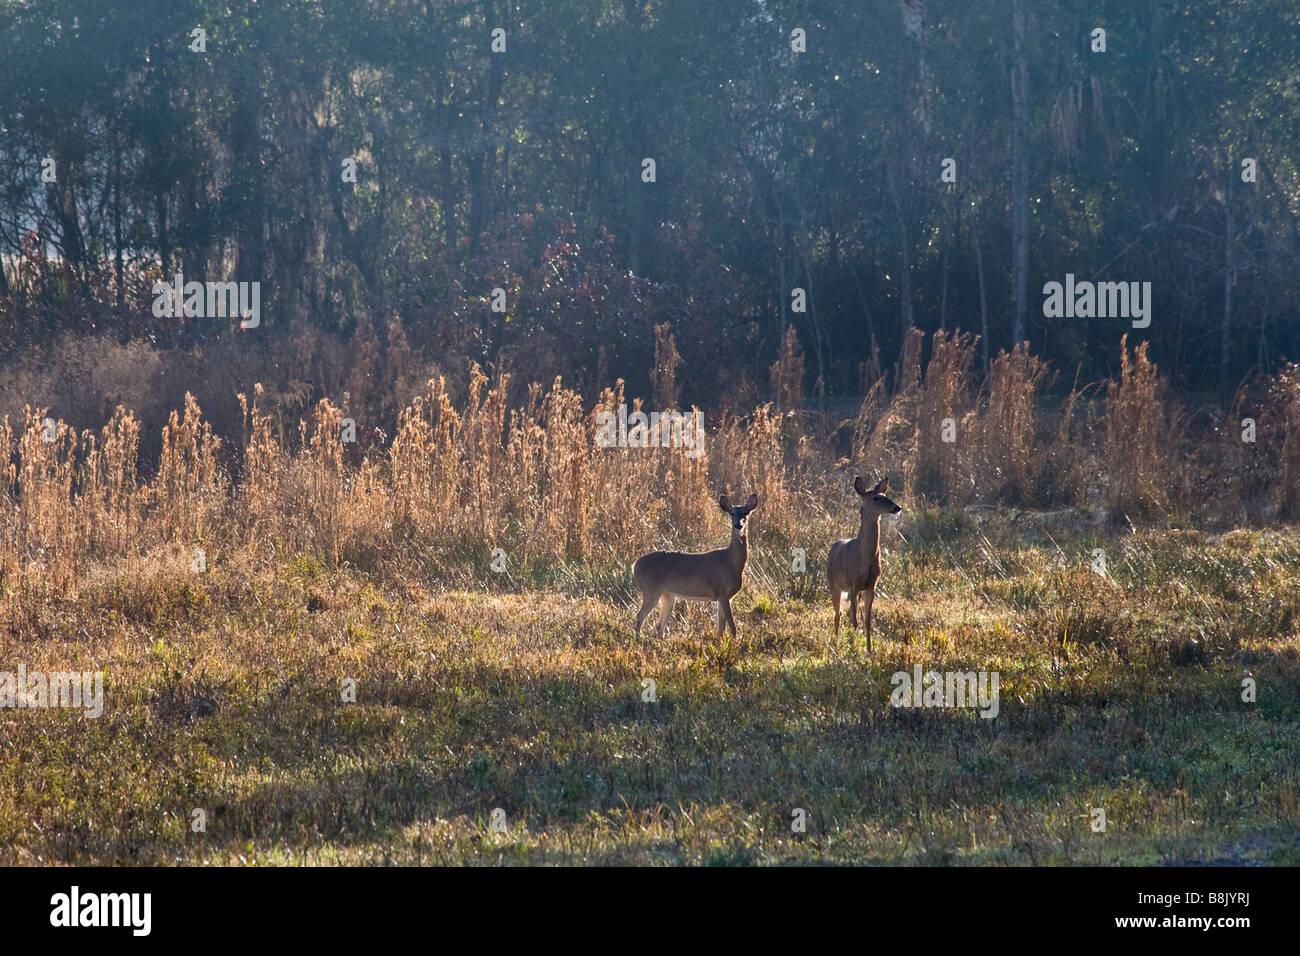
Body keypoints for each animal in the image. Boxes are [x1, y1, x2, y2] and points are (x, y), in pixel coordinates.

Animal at [633, 493, 759, 640]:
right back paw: (638, 639)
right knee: (640, 616)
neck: (731, 563)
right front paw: (735, 642)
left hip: (668, 595)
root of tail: (634, 566)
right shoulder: (722, 591)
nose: (738, 524)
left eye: (745, 513)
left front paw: (721, 642)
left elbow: (721, 628)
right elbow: (732, 627)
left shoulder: (724, 596)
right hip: (650, 591)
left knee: (659, 625)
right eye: (732, 513)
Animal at [827, 476, 902, 652]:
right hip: (834, 584)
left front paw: (869, 649)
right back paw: (835, 642)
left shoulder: (871, 584)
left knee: (846, 613)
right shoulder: (853, 583)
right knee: (838, 614)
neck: (864, 559)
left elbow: (867, 620)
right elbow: (855, 619)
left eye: (885, 494)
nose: (897, 507)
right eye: (875, 498)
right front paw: (853, 647)